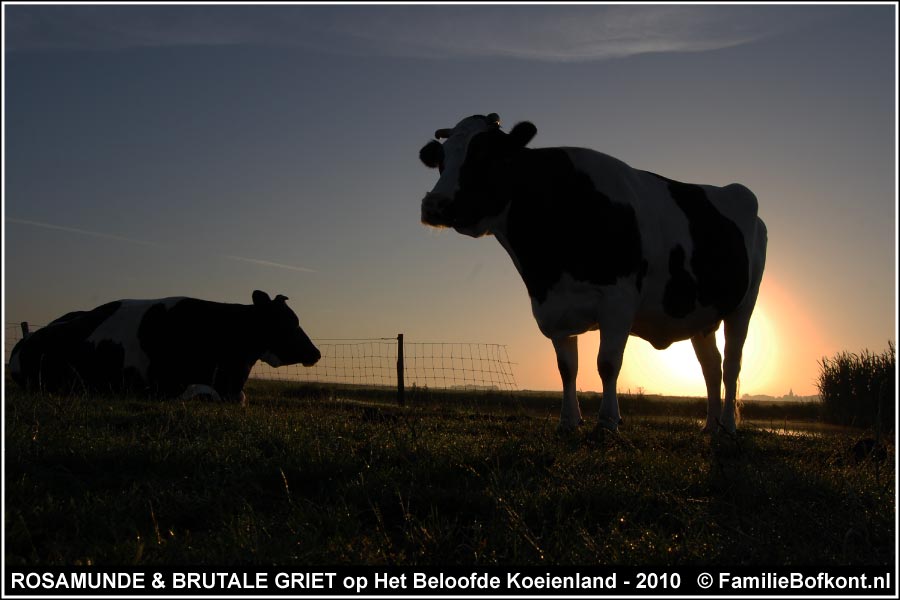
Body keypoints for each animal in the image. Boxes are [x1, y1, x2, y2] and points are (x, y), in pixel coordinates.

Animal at [420, 112, 768, 432]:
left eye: (486, 154)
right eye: (441, 160)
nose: (435, 204)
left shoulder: (617, 302)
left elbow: (607, 364)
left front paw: (607, 422)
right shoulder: (554, 308)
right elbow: (567, 368)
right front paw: (568, 422)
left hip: (742, 306)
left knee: (732, 365)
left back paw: (728, 425)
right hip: (701, 315)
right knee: (711, 367)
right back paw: (710, 426)